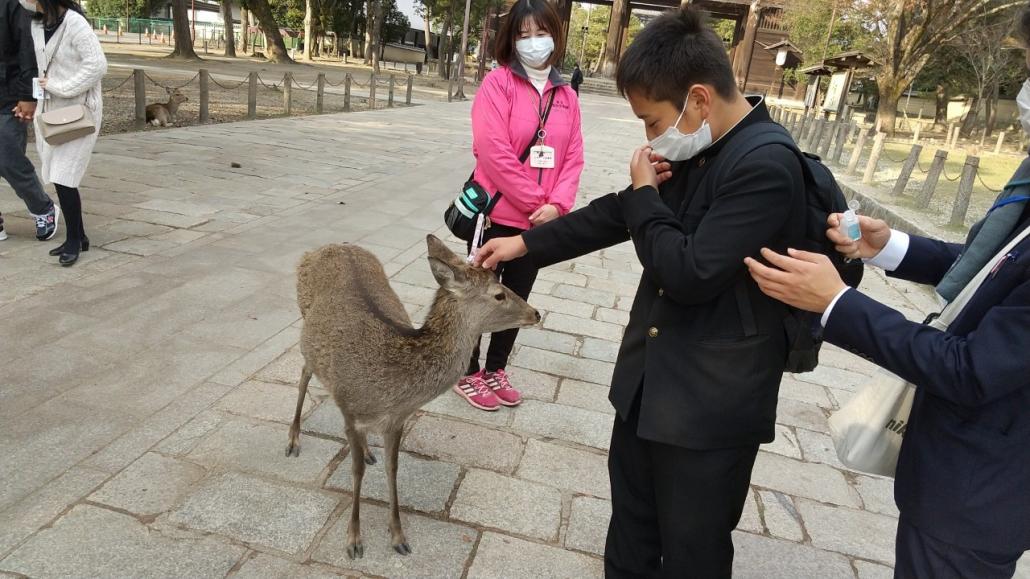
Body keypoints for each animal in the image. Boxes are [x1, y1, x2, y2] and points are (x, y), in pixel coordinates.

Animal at [282, 232, 539, 556]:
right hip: (304, 325)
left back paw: (367, 451)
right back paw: (293, 439)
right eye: (499, 294)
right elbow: (356, 471)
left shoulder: (397, 420)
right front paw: (354, 540)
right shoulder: (350, 409)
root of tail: (329, 247)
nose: (536, 313)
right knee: (304, 373)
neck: (392, 390)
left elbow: (392, 468)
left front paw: (398, 536)